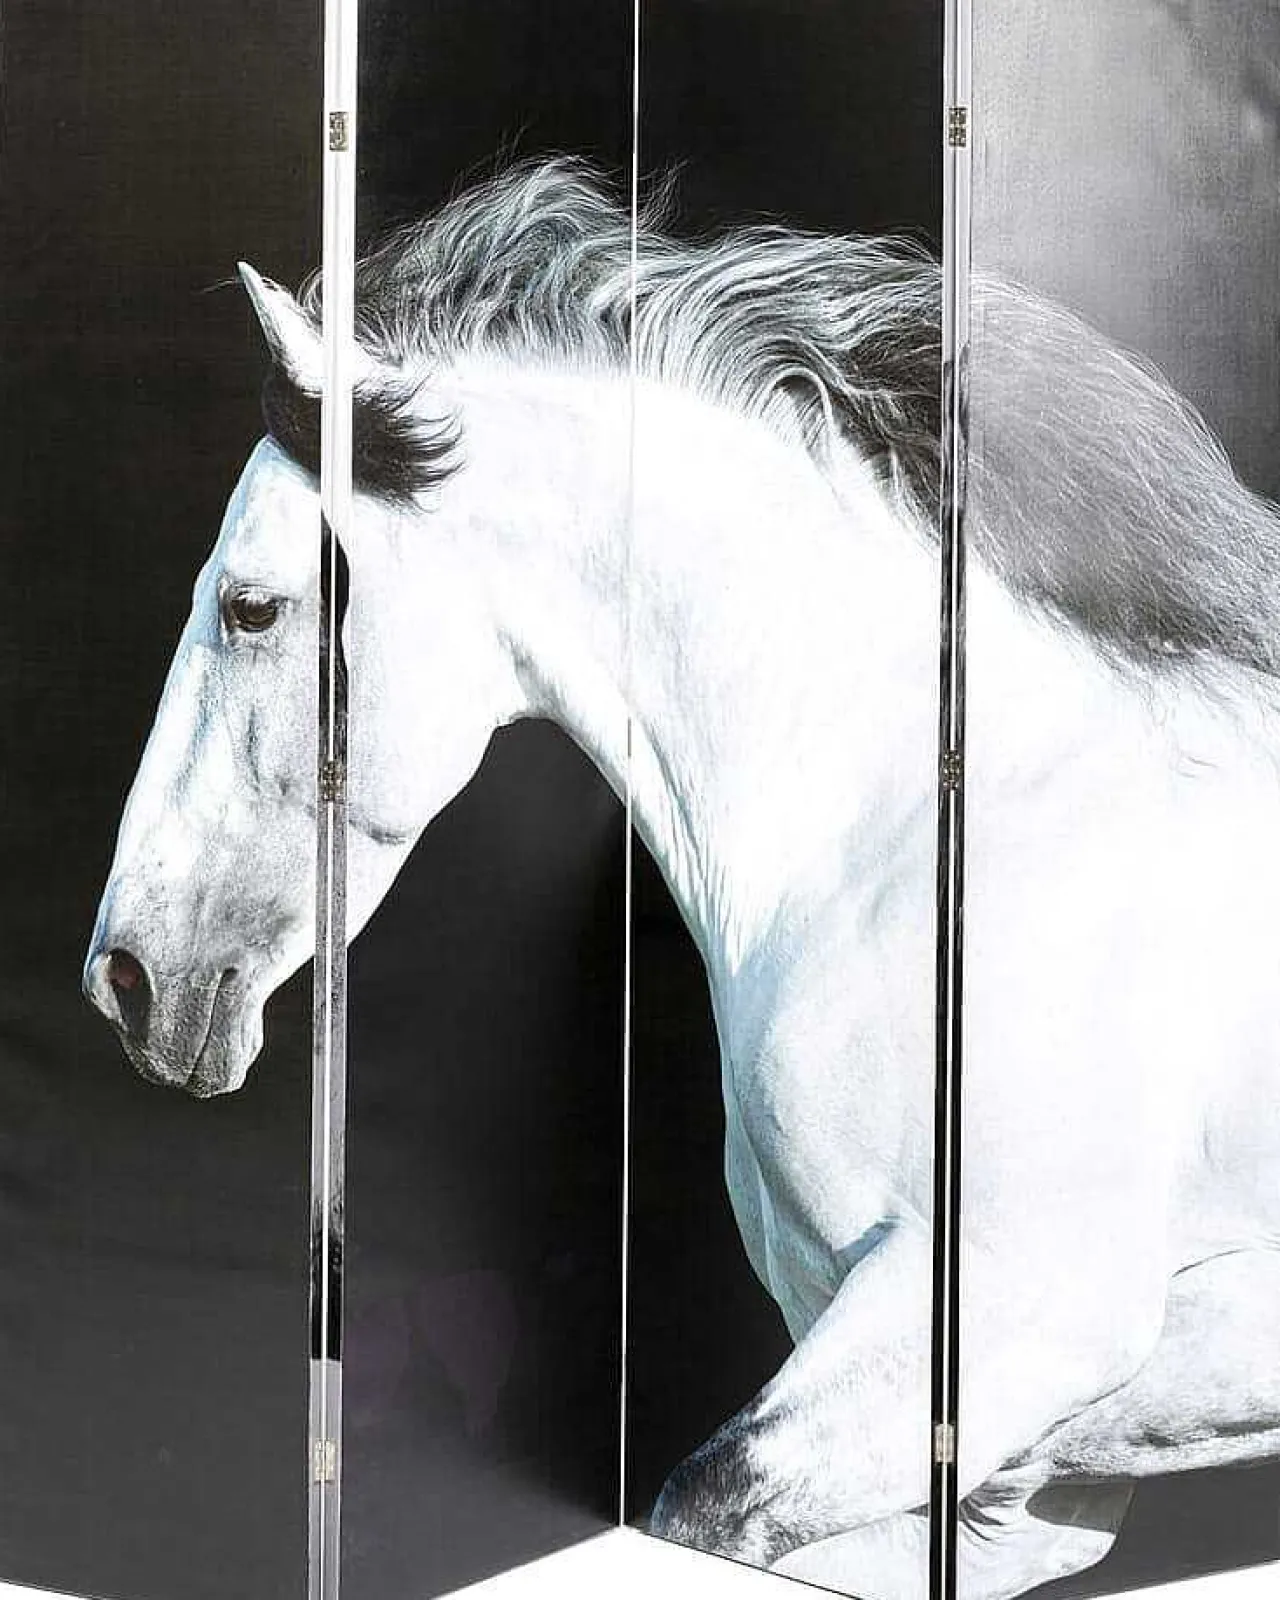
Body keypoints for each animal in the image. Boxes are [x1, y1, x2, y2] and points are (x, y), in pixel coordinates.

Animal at [83, 159, 1280, 1599]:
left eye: (251, 606)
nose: (126, 975)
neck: (932, 833)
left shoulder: (1014, 1326)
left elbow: (704, 1500)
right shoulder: (1007, 1480)